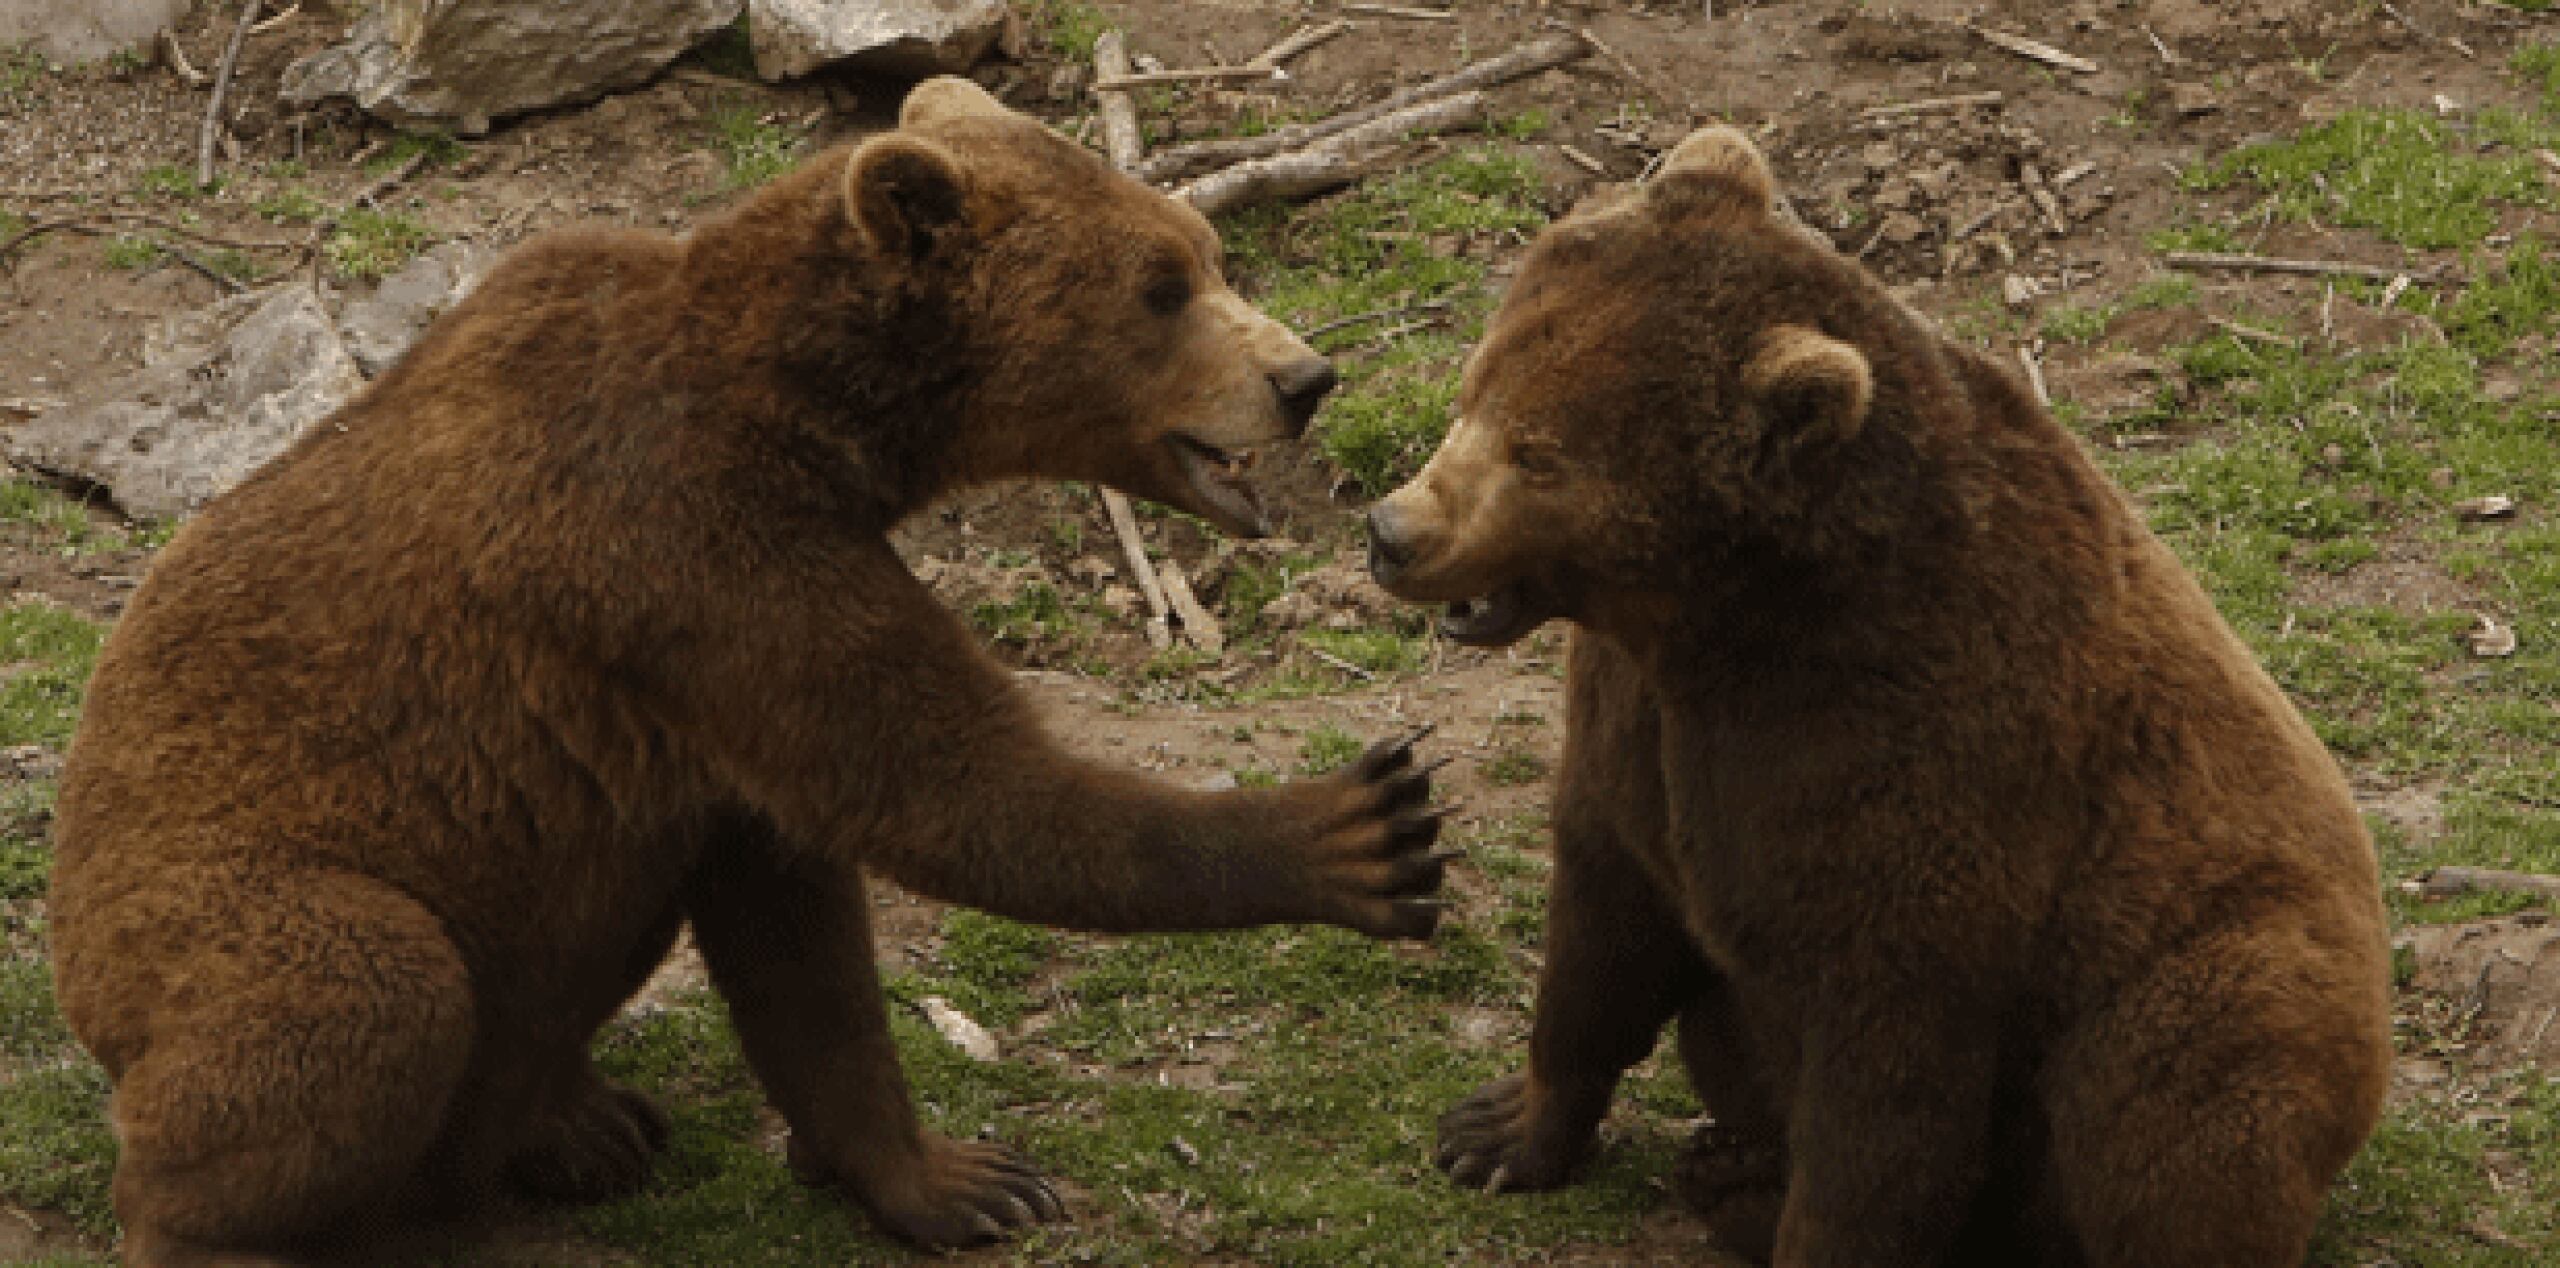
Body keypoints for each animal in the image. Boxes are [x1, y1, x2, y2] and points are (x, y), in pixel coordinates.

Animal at [49, 79, 1454, 1268]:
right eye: (1160, 285)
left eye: (1202, 251)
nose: (1304, 376)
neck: (813, 413)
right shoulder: (695, 551)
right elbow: (945, 787)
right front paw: (1358, 829)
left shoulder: (712, 684)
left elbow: (798, 924)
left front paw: (951, 1175)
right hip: (220, 914)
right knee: (361, 992)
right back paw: (231, 1227)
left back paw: (582, 1118)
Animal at [1372, 131, 2385, 1268]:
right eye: (1478, 385)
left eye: (1539, 454)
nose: (1393, 531)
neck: (1729, 621)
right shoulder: (1636, 723)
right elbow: (1602, 929)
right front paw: (1496, 1130)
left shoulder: (1913, 773)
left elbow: (1882, 1099)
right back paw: (1730, 1170)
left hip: (2219, 963)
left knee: (2188, 1098)